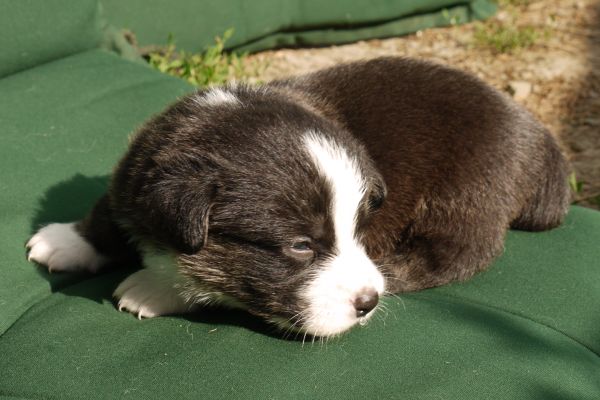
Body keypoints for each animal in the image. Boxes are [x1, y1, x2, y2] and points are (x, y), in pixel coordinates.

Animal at [26, 57, 570, 337]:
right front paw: (66, 240)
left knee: (454, 256)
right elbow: (108, 210)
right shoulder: (137, 170)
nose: (367, 303)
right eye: (301, 246)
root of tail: (540, 139)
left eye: (360, 230)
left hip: (466, 197)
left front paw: (154, 287)